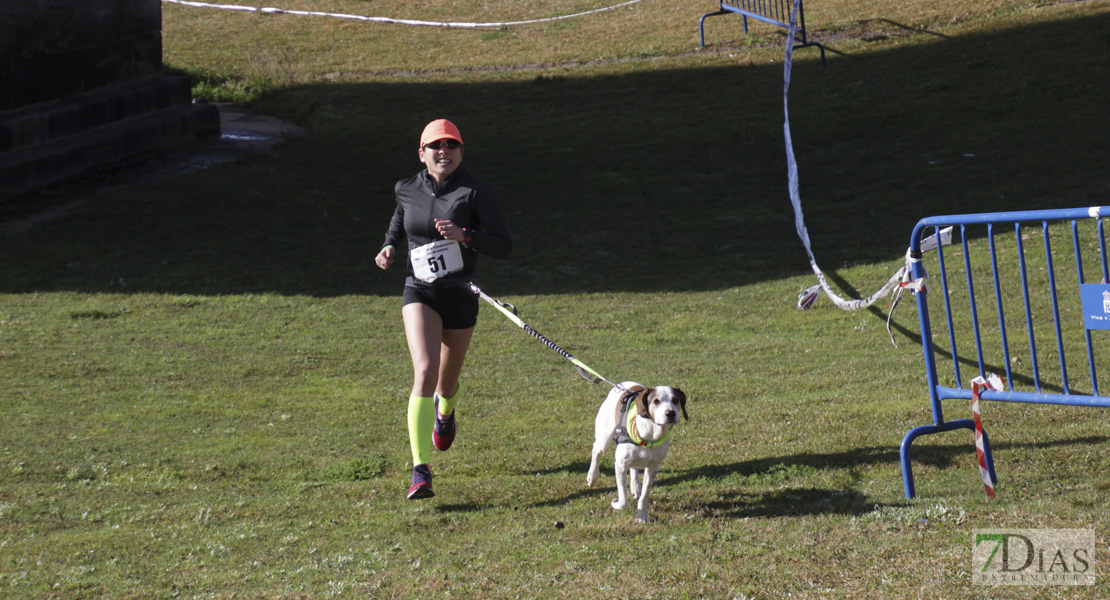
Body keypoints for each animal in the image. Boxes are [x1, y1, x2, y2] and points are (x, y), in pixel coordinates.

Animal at [590, 381, 683, 521]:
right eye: (656, 401)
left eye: (675, 400)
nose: (670, 413)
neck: (651, 434)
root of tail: (622, 384)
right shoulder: (620, 465)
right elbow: (624, 501)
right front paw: (615, 504)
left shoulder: (653, 468)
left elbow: (645, 496)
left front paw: (642, 516)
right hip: (604, 438)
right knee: (596, 449)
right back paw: (592, 476)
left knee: (634, 466)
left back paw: (635, 486)